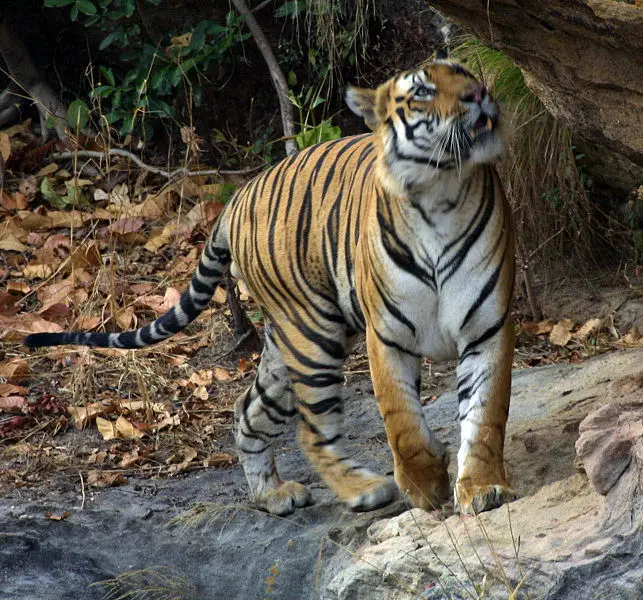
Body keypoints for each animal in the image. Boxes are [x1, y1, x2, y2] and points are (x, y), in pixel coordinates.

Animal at [25, 54, 517, 517]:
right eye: (422, 92)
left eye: (465, 73)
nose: (479, 93)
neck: (440, 192)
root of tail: (239, 194)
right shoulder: (388, 336)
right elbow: (402, 421)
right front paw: (425, 484)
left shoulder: (487, 327)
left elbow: (485, 418)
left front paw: (482, 489)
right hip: (312, 337)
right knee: (311, 430)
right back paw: (363, 489)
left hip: (291, 345)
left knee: (248, 410)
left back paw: (272, 494)